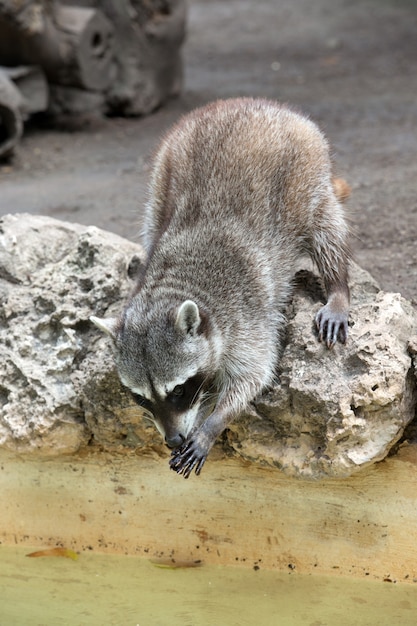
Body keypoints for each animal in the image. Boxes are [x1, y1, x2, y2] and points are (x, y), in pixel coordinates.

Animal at [90, 97, 348, 478]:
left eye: (179, 390)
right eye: (140, 397)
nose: (173, 440)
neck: (174, 288)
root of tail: (248, 102)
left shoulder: (247, 316)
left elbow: (253, 376)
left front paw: (213, 422)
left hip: (308, 173)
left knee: (328, 231)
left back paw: (338, 287)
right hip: (162, 173)